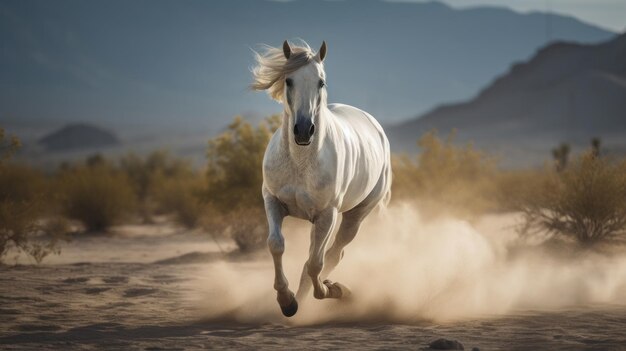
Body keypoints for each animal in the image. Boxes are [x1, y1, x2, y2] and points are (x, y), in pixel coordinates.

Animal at [250, 40, 388, 318]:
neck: (301, 161)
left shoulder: (327, 214)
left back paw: (336, 291)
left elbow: (316, 263)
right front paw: (286, 301)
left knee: (334, 254)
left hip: (355, 215)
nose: (303, 131)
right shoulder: (272, 201)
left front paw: (329, 290)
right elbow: (276, 245)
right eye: (288, 80)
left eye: (320, 82)